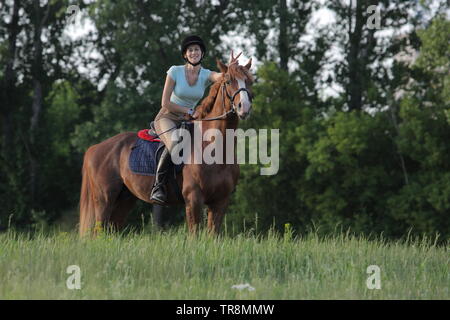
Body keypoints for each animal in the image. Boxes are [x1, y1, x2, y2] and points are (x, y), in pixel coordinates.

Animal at [78, 53, 251, 238]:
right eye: (228, 81)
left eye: (250, 81)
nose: (244, 107)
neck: (213, 148)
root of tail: (94, 148)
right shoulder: (193, 198)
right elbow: (194, 236)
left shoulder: (220, 201)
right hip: (104, 199)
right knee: (98, 232)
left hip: (125, 199)